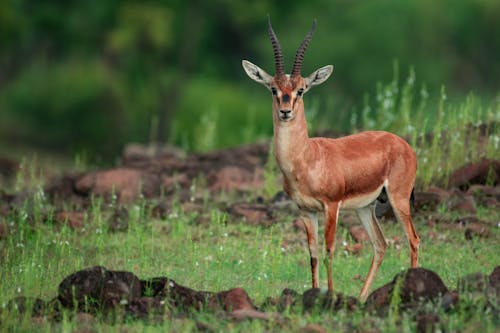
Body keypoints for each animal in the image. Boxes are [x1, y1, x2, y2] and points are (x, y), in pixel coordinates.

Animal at [241, 16, 418, 300]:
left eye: (301, 90)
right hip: (365, 207)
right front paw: (314, 293)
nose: (285, 111)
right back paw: (361, 298)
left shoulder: (331, 206)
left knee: (413, 239)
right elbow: (312, 254)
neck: (306, 159)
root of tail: (403, 144)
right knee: (380, 245)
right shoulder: (306, 211)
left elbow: (329, 251)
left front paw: (330, 295)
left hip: (398, 199)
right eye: (273, 89)